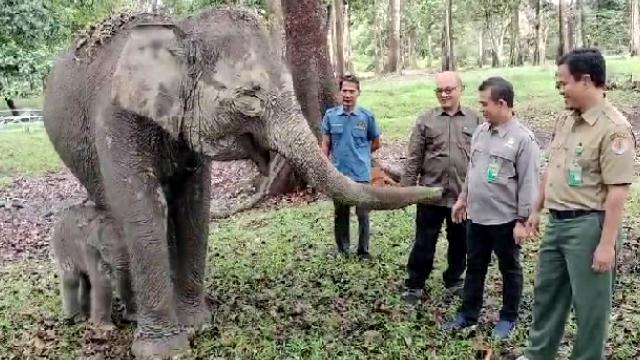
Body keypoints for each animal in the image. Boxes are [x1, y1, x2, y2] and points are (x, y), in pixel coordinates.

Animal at [41, 5, 440, 358]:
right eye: (250, 95)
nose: (439, 191)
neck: (183, 32)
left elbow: (193, 206)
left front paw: (196, 324)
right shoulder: (116, 120)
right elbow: (143, 210)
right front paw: (163, 349)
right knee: (113, 209)